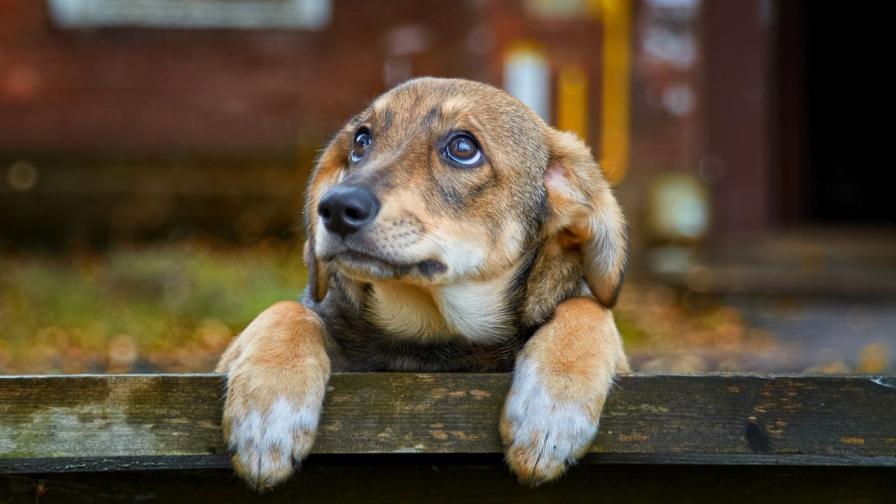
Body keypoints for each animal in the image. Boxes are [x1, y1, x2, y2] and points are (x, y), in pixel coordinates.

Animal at [216, 77, 632, 490]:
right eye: (361, 140)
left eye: (463, 148)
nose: (334, 208)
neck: (430, 332)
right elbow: (288, 310)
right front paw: (267, 414)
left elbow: (588, 307)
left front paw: (552, 412)